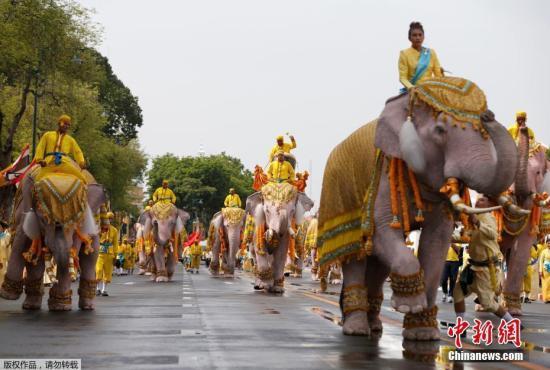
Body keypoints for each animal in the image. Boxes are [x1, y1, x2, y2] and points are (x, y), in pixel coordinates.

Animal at [0, 168, 106, 312]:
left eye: (75, 223)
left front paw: (60, 307)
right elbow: (28, 250)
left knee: (90, 258)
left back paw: (87, 306)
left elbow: (72, 252)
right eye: (44, 220)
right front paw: (10, 296)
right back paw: (31, 305)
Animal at [316, 77, 520, 342]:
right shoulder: (386, 173)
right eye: (440, 130)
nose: (489, 115)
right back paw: (356, 330)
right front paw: (408, 306)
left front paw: (423, 334)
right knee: (356, 256)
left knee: (379, 263)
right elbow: (382, 231)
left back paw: (375, 327)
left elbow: (436, 241)